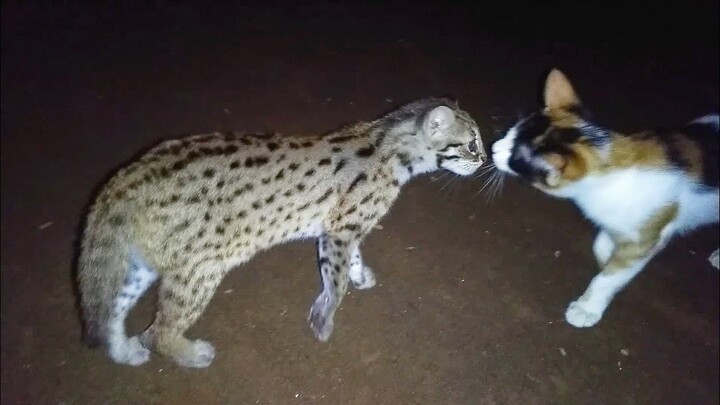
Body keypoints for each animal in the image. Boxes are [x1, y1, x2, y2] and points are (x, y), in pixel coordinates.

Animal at [77, 98, 484, 366]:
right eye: (471, 143)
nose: (483, 161)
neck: (388, 143)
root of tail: (125, 178)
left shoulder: (342, 227)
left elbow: (351, 261)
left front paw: (359, 276)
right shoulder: (339, 231)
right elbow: (335, 283)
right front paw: (325, 318)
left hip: (142, 264)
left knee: (110, 312)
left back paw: (124, 352)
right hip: (199, 269)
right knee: (157, 331)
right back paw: (191, 354)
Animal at [492, 69, 720, 326]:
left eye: (515, 158)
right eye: (512, 133)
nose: (493, 148)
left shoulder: (649, 234)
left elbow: (611, 276)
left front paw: (589, 306)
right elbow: (602, 245)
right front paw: (608, 261)